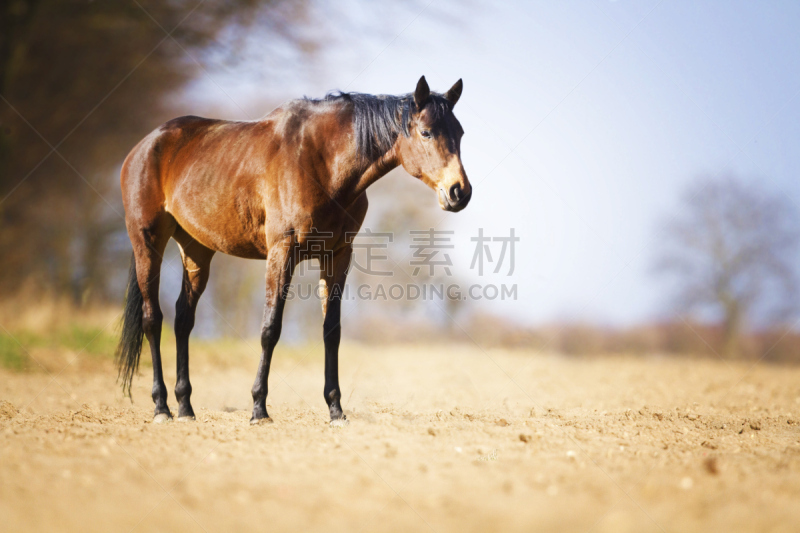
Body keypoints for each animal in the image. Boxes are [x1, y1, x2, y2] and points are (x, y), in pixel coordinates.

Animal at [115, 75, 472, 424]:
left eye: (460, 133)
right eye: (426, 132)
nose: (459, 192)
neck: (322, 162)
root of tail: (146, 145)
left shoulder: (337, 256)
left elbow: (331, 331)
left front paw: (335, 409)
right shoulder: (282, 252)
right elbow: (270, 329)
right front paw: (259, 409)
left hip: (197, 250)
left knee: (183, 320)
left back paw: (185, 408)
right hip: (148, 243)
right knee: (152, 319)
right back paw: (162, 407)